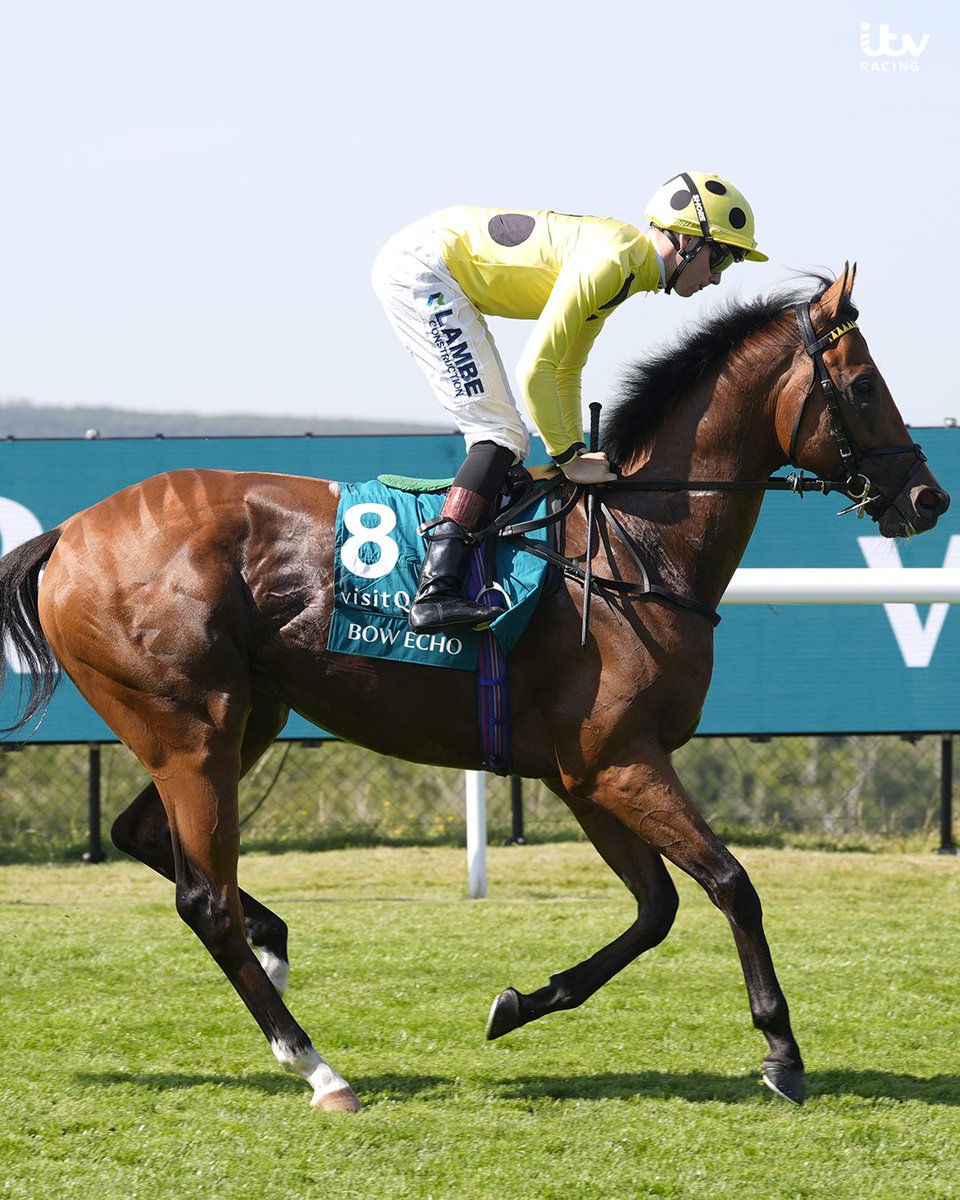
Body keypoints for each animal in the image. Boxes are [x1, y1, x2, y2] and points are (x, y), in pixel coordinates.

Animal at [0, 267, 949, 1112]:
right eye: (863, 387)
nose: (928, 497)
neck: (635, 546)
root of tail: (68, 535)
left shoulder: (584, 775)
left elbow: (657, 909)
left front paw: (520, 1003)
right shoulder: (620, 762)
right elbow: (730, 884)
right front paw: (781, 1051)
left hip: (240, 718)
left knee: (148, 842)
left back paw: (277, 949)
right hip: (192, 728)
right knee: (206, 898)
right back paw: (317, 1067)